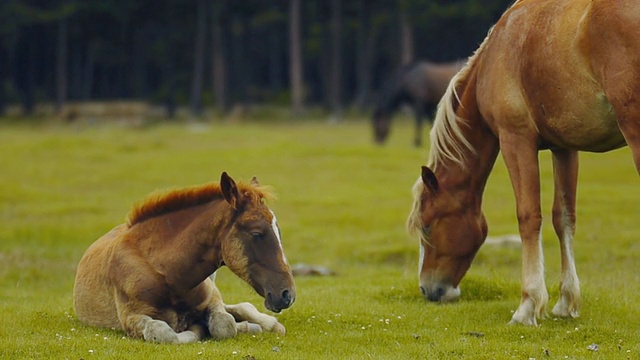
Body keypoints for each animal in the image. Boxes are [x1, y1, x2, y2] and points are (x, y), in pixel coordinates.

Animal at [74, 174, 296, 344]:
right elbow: (166, 334)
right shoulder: (131, 316)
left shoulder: (212, 297)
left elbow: (224, 325)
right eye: (257, 233)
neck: (168, 275)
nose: (287, 295)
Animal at [408, 0, 636, 326]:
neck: (495, 54)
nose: (427, 288)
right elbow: (563, 218)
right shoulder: (564, 148)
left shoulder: (515, 140)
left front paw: (528, 305)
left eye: (427, 227)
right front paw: (566, 302)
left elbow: (528, 216)